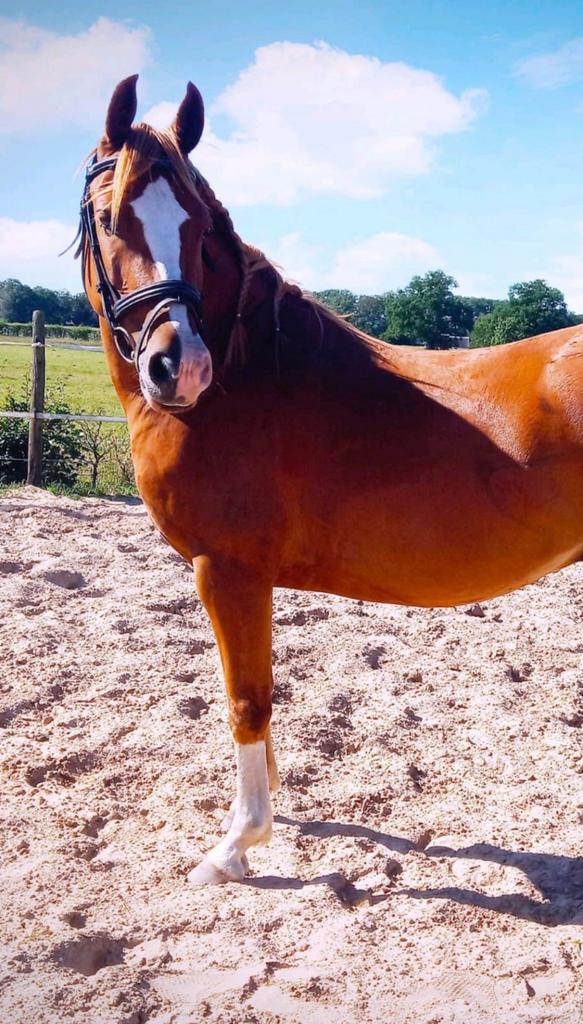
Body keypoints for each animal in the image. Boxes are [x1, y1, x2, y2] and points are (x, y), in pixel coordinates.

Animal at [78, 75, 583, 884]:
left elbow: (246, 700)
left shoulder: (227, 570)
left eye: (197, 225)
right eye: (107, 216)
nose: (178, 365)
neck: (246, 378)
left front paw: (238, 844)